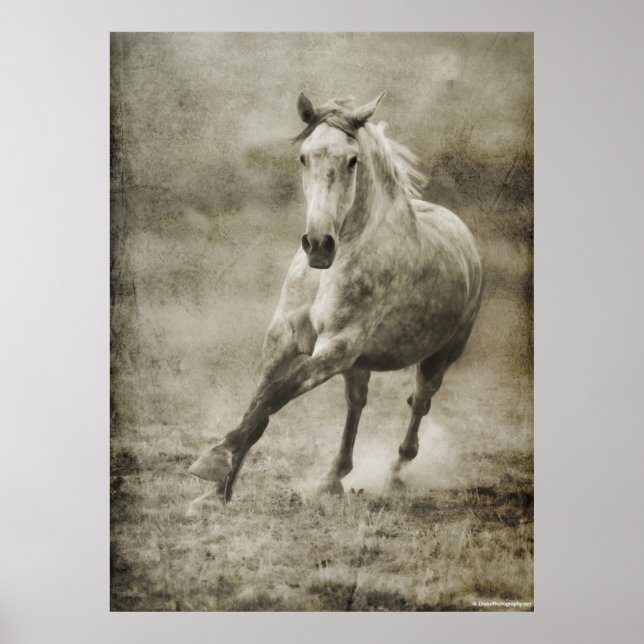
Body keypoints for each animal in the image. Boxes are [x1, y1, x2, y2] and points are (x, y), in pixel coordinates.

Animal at [188, 93, 483, 506]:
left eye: (352, 160)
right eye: (304, 157)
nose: (318, 244)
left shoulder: (339, 345)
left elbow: (275, 395)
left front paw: (215, 462)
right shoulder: (283, 337)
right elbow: (257, 403)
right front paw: (217, 491)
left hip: (438, 358)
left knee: (419, 406)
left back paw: (396, 475)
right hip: (360, 364)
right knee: (356, 404)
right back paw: (332, 478)